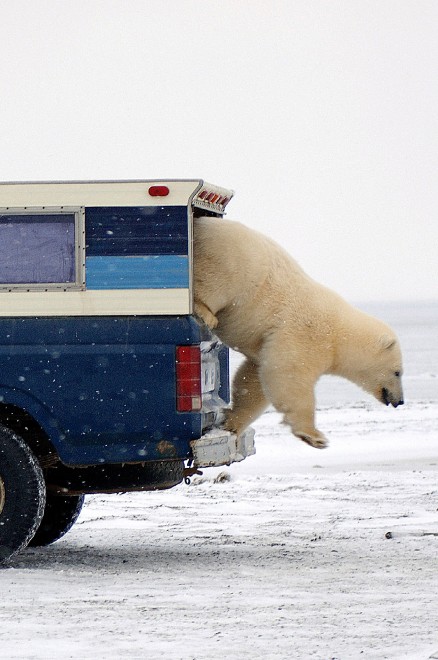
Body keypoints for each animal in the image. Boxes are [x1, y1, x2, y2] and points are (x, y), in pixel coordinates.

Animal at [193, 216, 404, 449]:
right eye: (397, 372)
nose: (400, 401)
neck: (341, 335)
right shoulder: (308, 332)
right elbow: (289, 373)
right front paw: (314, 436)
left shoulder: (267, 345)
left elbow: (255, 379)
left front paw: (232, 424)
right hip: (234, 262)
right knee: (212, 282)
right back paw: (205, 312)